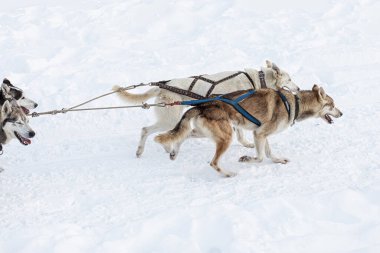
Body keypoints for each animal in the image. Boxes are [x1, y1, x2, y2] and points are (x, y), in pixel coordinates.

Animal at [113, 60, 300, 157]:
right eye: (290, 79)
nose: (298, 88)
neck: (255, 80)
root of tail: (162, 87)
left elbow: (240, 133)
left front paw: (246, 143)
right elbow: (240, 133)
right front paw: (248, 143)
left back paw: (167, 147)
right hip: (169, 119)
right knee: (146, 130)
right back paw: (141, 150)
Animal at [154, 84, 342, 177]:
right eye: (332, 105)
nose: (341, 113)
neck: (294, 103)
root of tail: (202, 106)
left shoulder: (262, 134)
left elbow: (269, 153)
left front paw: (278, 160)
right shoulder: (259, 134)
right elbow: (260, 157)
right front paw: (246, 159)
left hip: (207, 133)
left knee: (184, 135)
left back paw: (174, 152)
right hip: (226, 137)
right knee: (213, 162)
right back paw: (228, 174)